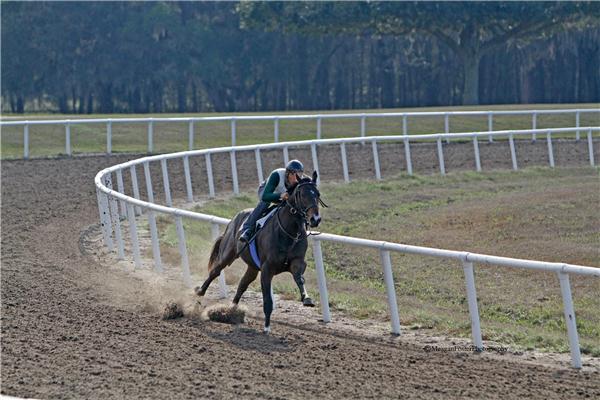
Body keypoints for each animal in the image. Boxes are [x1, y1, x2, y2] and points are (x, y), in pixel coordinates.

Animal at [195, 170, 326, 332]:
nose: (315, 219)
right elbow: (268, 300)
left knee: (242, 284)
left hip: (252, 267)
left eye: (317, 194)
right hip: (228, 254)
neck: (289, 232)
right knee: (215, 271)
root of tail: (234, 219)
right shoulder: (267, 268)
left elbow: (299, 278)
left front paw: (307, 298)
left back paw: (231, 311)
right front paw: (266, 327)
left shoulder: (297, 262)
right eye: (302, 194)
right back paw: (200, 292)